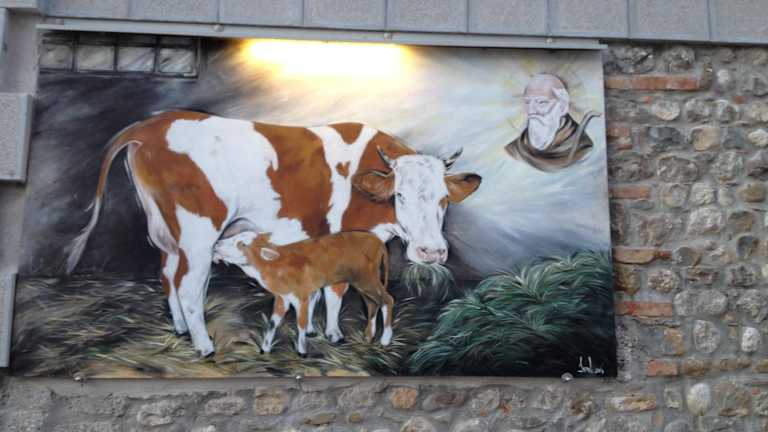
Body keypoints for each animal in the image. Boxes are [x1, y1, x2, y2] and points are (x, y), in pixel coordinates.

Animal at [213, 229, 392, 356]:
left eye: (242, 244)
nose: (218, 243)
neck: (277, 266)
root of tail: (378, 241)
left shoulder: (302, 297)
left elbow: (301, 323)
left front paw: (302, 351)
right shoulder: (282, 298)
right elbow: (272, 322)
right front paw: (265, 348)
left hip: (367, 279)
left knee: (387, 300)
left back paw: (385, 339)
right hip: (364, 282)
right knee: (372, 303)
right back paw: (368, 337)